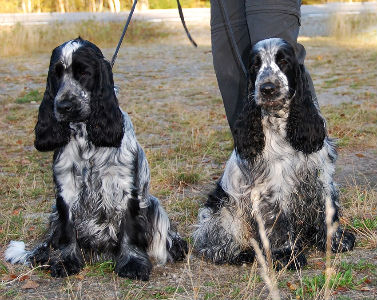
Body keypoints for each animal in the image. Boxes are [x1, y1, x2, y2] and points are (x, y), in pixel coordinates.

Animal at [192, 38, 354, 270]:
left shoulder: (320, 175)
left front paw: (336, 241)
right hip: (222, 212)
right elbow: (277, 223)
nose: (267, 88)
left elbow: (328, 210)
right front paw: (288, 256)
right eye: (255, 65)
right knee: (215, 245)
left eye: (283, 61)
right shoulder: (270, 188)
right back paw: (244, 253)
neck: (281, 124)